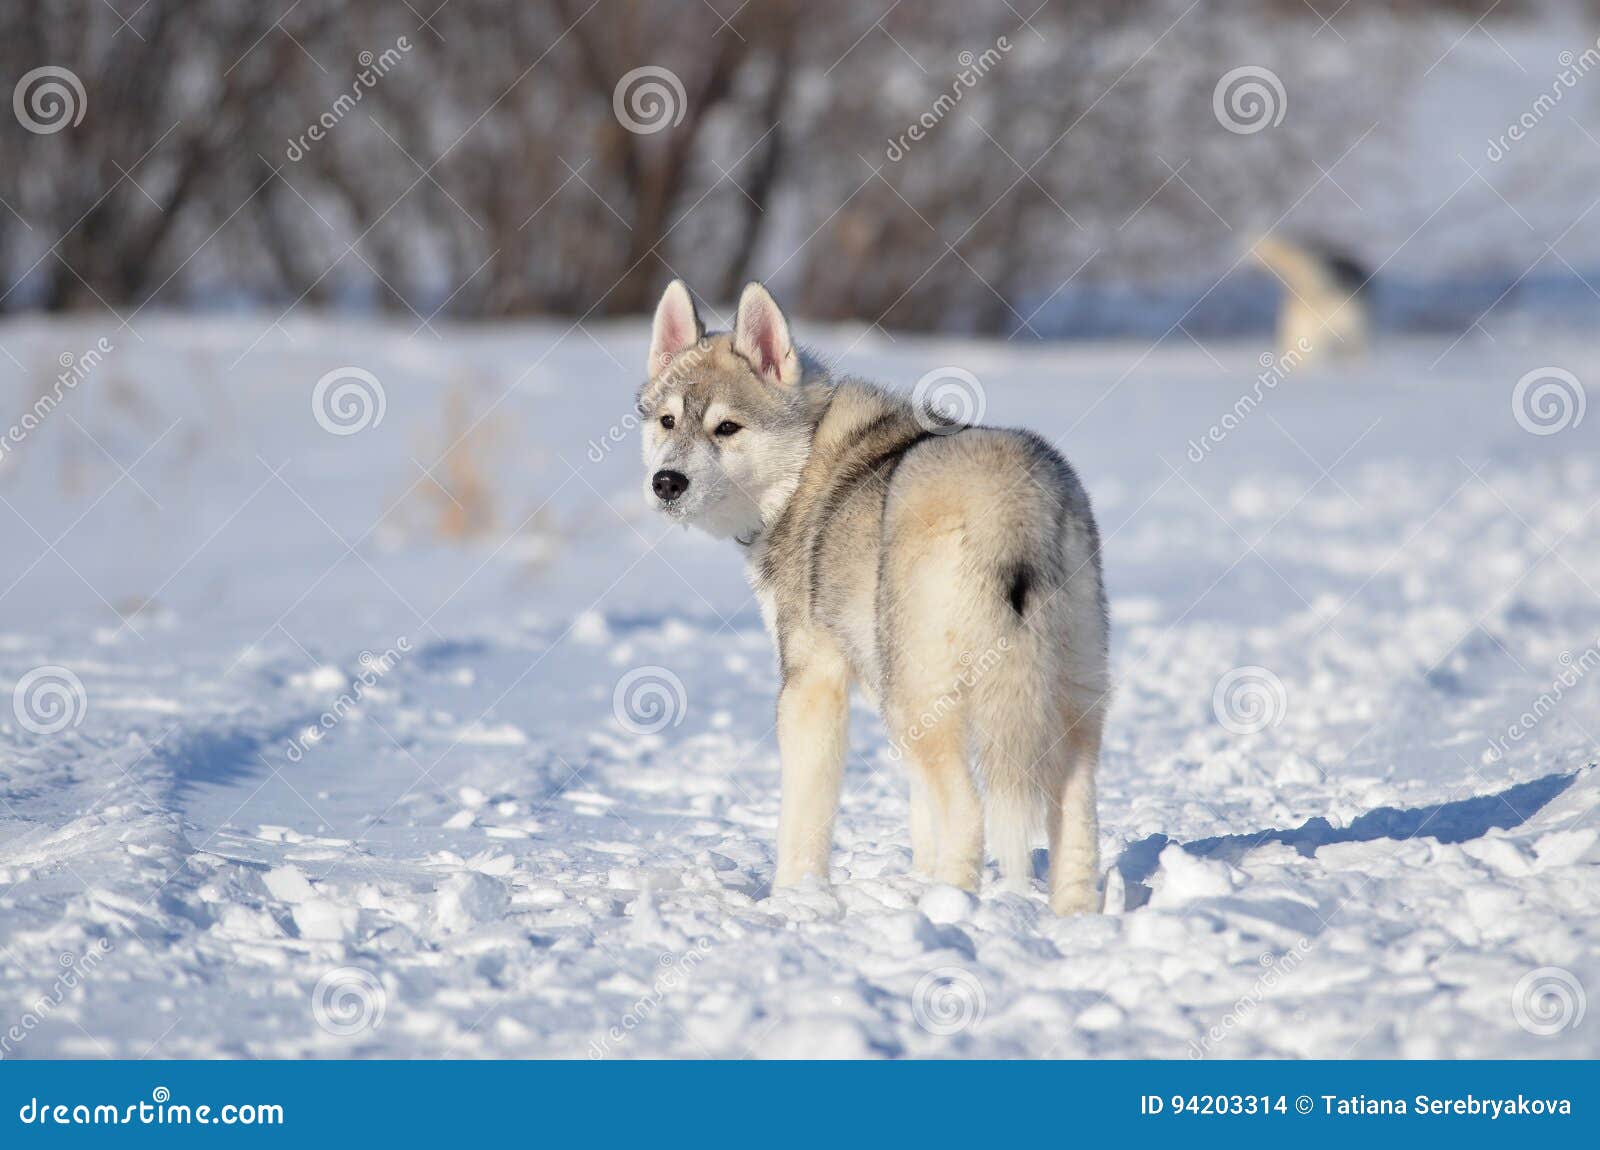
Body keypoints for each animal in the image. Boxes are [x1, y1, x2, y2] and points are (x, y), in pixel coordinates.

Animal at [630, 283, 1107, 914]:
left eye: (727, 428)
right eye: (667, 421)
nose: (666, 483)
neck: (805, 465)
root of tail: (1010, 496)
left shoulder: (812, 684)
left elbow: (804, 819)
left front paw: (794, 898)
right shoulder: (880, 684)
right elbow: (921, 814)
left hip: (925, 699)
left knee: (971, 813)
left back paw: (949, 909)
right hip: (1068, 694)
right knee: (1074, 812)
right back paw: (1072, 919)